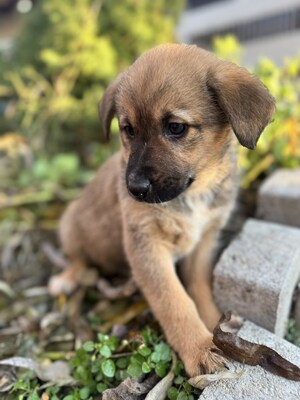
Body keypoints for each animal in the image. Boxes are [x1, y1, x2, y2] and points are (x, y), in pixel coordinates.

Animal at [48, 45, 274, 376]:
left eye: (175, 127)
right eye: (128, 130)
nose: (135, 188)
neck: (195, 191)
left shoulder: (204, 242)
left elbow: (199, 288)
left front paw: (215, 324)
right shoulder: (147, 246)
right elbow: (175, 302)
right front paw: (199, 348)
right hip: (69, 224)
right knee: (78, 257)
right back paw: (66, 278)